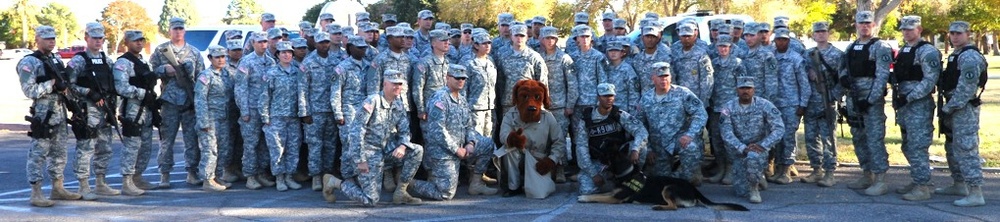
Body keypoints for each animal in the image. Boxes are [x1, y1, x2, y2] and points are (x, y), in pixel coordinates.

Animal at [576, 145, 748, 211]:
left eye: (606, 156)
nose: (593, 154)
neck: (626, 173)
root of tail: (693, 189)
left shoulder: (615, 198)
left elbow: (598, 197)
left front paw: (584, 198)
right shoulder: (613, 193)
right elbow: (598, 194)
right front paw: (585, 195)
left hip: (668, 187)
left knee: (675, 206)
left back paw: (659, 207)